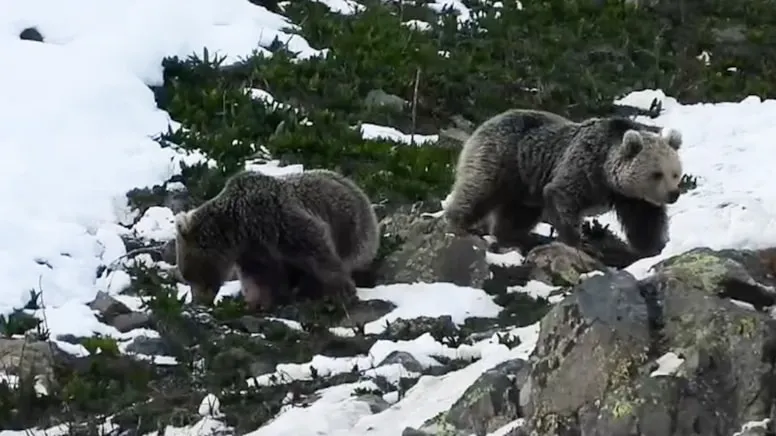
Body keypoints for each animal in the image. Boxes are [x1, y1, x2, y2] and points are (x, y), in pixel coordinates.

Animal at [176, 169, 382, 312]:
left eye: (191, 275)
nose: (198, 302)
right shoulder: (252, 250)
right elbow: (257, 277)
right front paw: (256, 303)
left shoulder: (275, 221)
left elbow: (315, 247)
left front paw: (344, 291)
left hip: (349, 225)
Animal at [442, 108, 684, 258]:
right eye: (656, 173)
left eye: (675, 173)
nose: (673, 194)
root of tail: (488, 121)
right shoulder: (583, 168)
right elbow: (562, 195)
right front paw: (581, 243)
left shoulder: (632, 198)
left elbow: (645, 221)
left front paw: (652, 247)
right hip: (501, 158)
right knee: (478, 189)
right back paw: (457, 222)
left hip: (524, 185)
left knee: (517, 213)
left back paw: (511, 237)